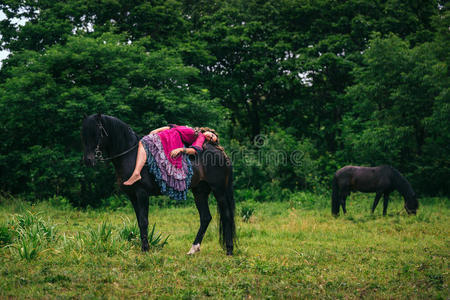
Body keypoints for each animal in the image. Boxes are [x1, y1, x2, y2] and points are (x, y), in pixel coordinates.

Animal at [81, 113, 236, 254]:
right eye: (84, 134)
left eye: (97, 132)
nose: (88, 160)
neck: (132, 156)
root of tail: (221, 153)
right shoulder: (132, 196)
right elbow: (139, 221)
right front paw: (144, 247)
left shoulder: (142, 194)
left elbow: (144, 221)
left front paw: (145, 249)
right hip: (200, 191)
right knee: (205, 217)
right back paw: (193, 249)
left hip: (219, 190)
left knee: (227, 215)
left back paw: (229, 249)